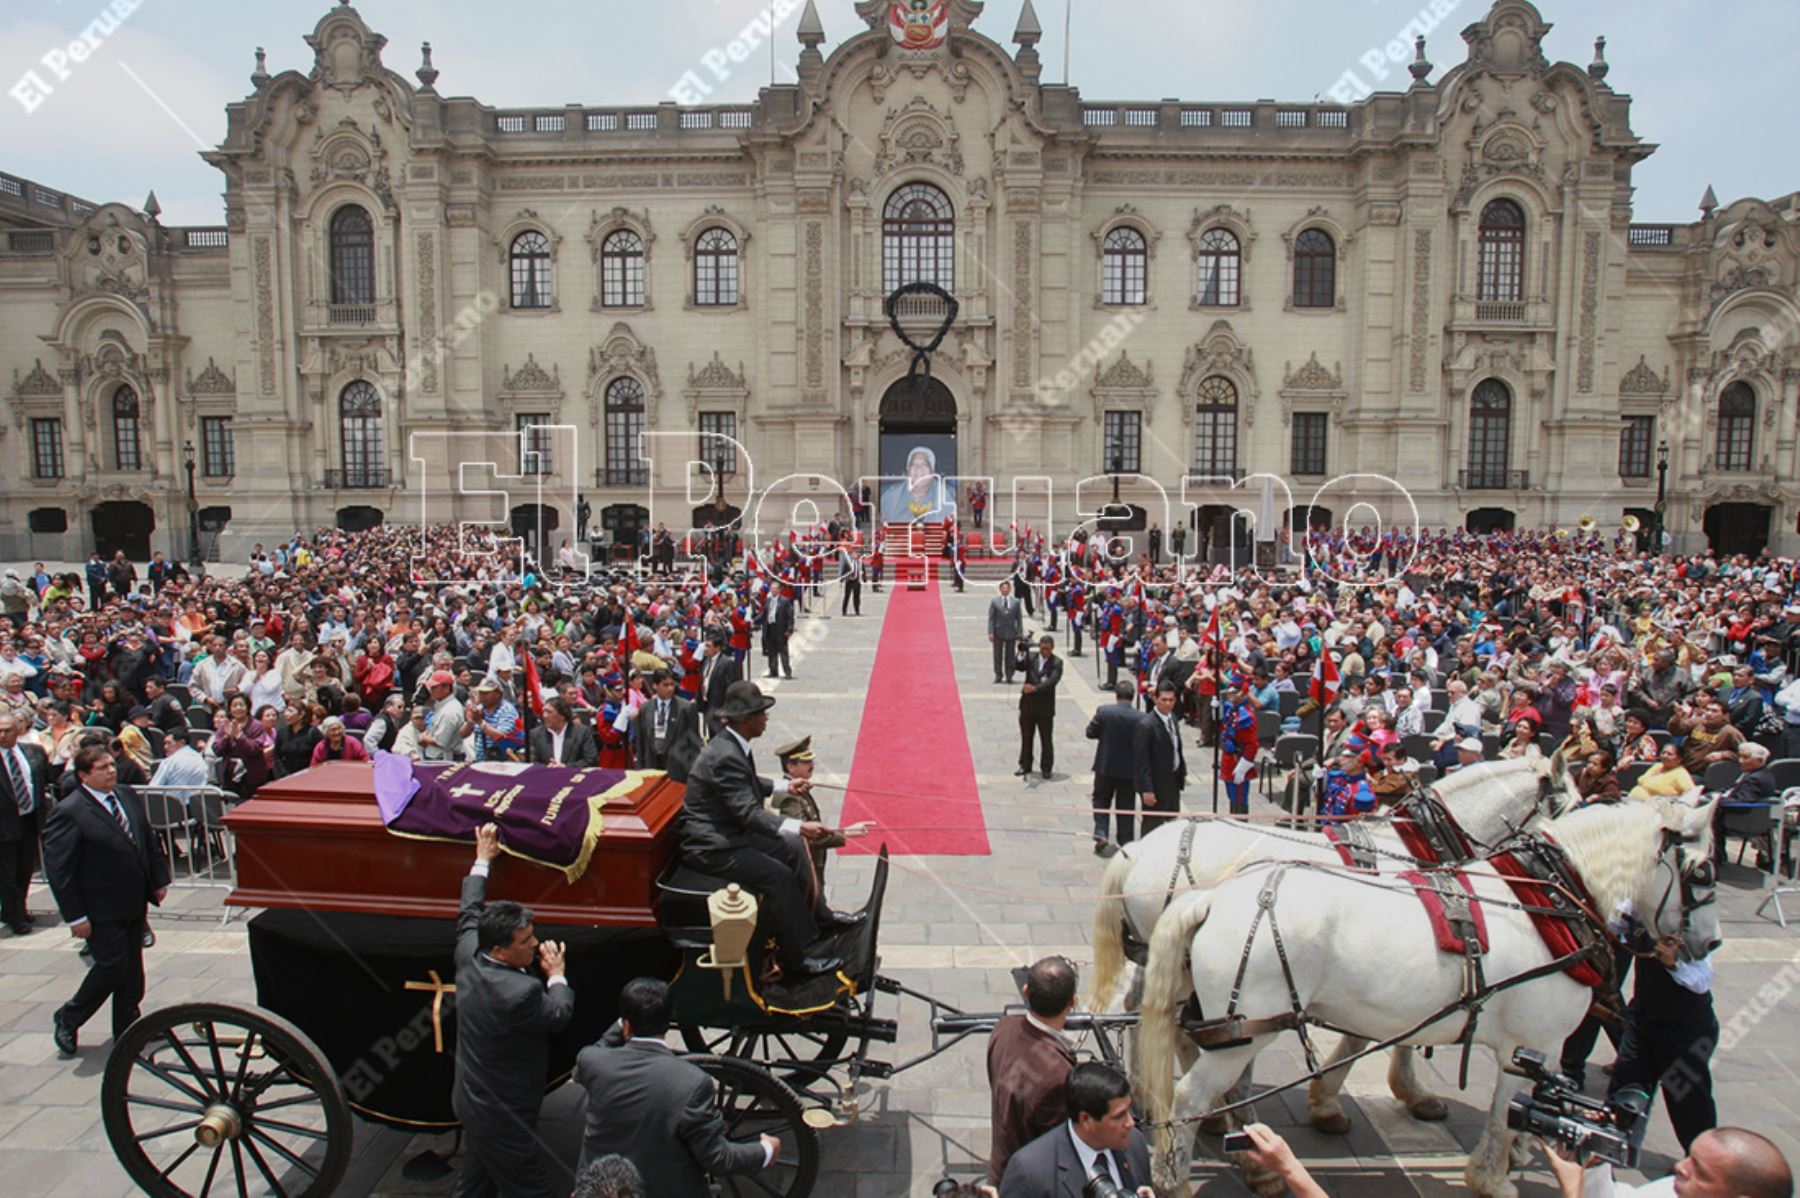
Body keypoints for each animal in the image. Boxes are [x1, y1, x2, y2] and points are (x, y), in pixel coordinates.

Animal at [1080, 755, 1576, 1129]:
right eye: (1571, 805)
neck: (1418, 845)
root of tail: (1136, 850)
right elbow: (1382, 1037)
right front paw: (1362, 1098)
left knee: (1143, 1009)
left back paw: (1148, 1090)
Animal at [1137, 791, 1713, 1194]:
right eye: (1702, 871)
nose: (1707, 943)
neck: (1545, 902)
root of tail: (1212, 898)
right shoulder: (1530, 1044)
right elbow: (1504, 1113)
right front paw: (1494, 1175)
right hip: (1247, 1028)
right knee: (1188, 1094)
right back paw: (1178, 1176)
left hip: (1226, 1021)